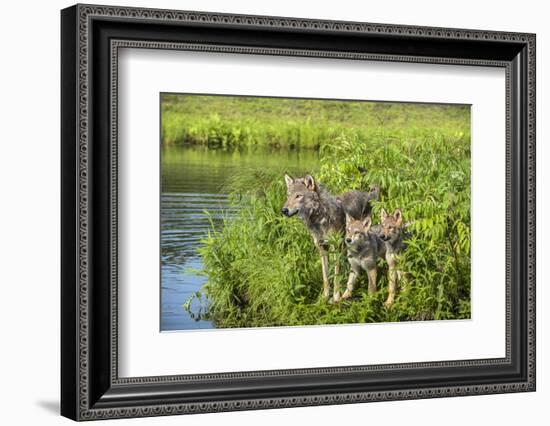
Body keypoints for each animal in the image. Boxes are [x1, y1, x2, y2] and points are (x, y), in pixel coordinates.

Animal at [282, 174, 382, 302]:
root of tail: (366, 194)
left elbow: (335, 276)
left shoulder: (336, 248)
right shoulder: (322, 248)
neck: (320, 219)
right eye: (288, 196)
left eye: (298, 196)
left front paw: (336, 298)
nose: (284, 210)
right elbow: (325, 277)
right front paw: (324, 297)